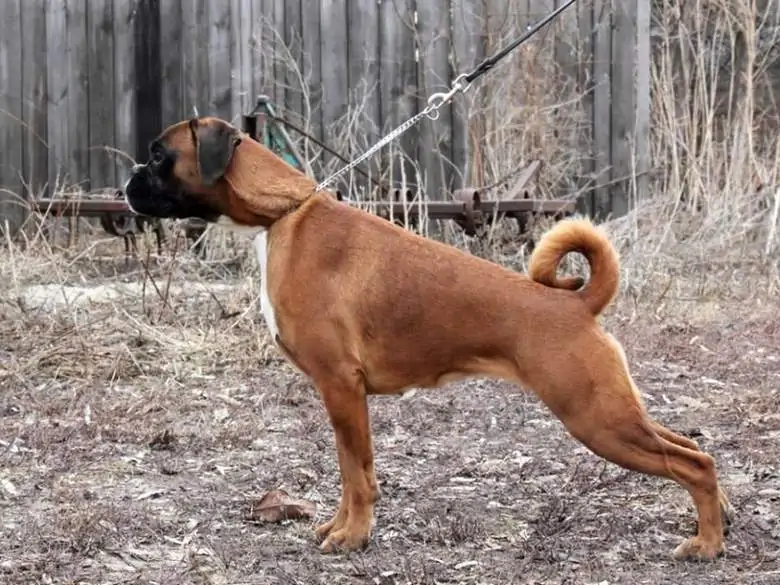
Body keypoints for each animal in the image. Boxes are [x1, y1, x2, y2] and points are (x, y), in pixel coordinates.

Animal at [125, 116, 736, 560]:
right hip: (613, 413)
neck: (281, 216)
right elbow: (353, 471)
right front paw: (340, 528)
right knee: (694, 450)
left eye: (158, 156)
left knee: (694, 465)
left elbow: (356, 474)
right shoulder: (342, 396)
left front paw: (352, 537)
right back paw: (723, 518)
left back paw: (705, 544)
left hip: (596, 419)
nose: (126, 182)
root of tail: (576, 302)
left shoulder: (341, 388)